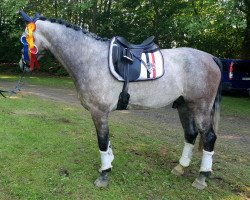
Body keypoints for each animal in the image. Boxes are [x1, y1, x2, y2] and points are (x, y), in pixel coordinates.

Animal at [20, 14, 222, 189]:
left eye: (24, 38)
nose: (23, 64)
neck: (89, 58)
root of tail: (212, 58)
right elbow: (107, 142)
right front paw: (108, 164)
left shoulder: (99, 111)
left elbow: (102, 141)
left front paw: (104, 175)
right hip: (184, 105)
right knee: (190, 134)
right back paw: (180, 168)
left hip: (201, 107)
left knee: (209, 137)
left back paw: (202, 177)